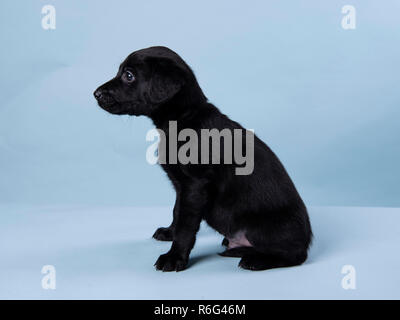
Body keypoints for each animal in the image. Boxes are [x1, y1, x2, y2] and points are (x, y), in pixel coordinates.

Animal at [94, 46, 312, 272]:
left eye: (129, 75)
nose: (95, 94)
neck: (183, 120)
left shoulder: (195, 186)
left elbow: (186, 227)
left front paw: (174, 257)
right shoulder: (181, 186)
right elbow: (177, 212)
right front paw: (169, 232)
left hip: (270, 230)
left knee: (294, 254)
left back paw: (256, 260)